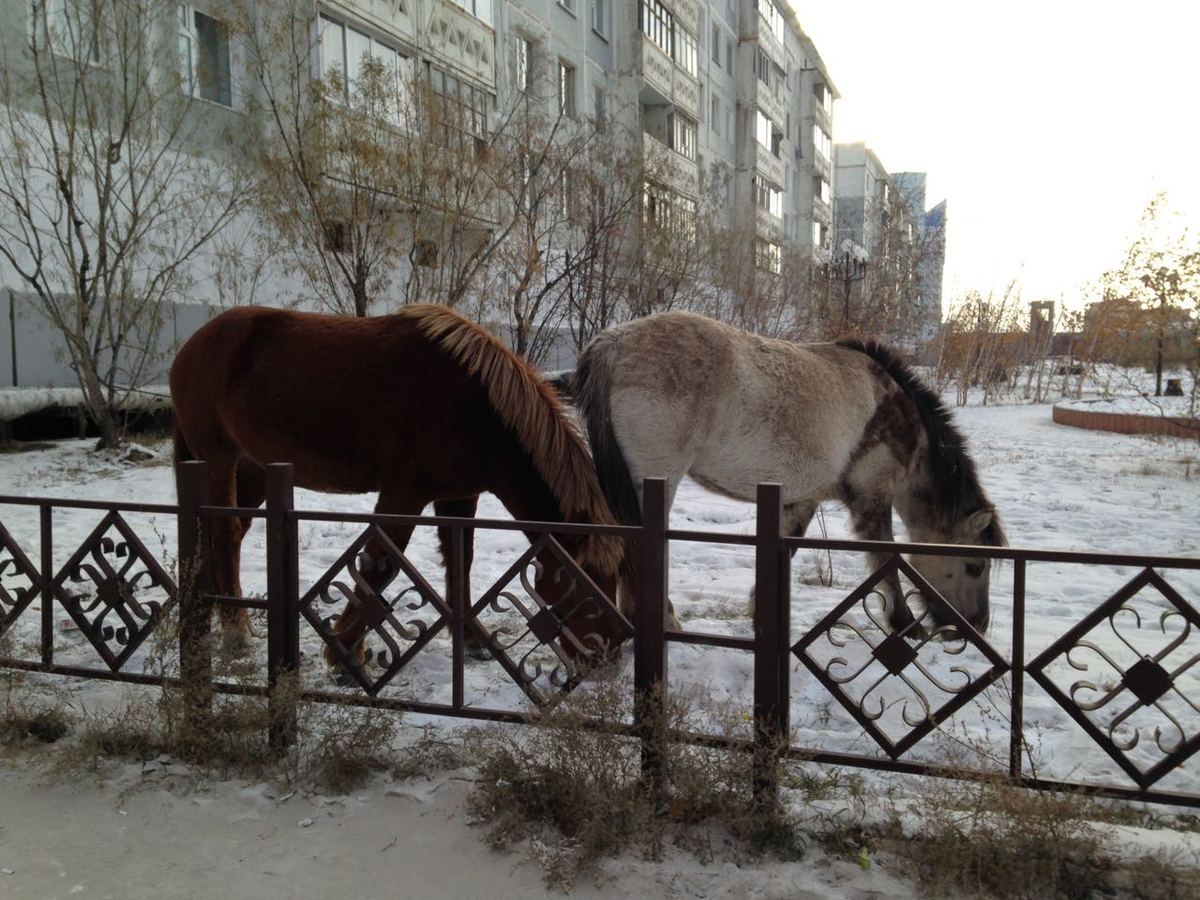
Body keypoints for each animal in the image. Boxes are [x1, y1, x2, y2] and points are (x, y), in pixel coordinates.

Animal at [169, 304, 625, 675]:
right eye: (588, 587)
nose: (606, 660)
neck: (477, 411)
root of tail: (192, 346)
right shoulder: (404, 494)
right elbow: (379, 563)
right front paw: (345, 652)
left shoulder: (458, 496)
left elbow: (460, 561)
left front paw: (472, 638)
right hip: (220, 461)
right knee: (227, 534)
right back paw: (236, 631)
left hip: (252, 471)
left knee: (226, 534)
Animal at [568, 310, 1005, 635]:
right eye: (974, 566)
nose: (976, 626)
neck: (898, 413)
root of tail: (614, 342)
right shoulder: (872, 502)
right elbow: (886, 560)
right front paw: (904, 623)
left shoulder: (801, 500)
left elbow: (787, 551)